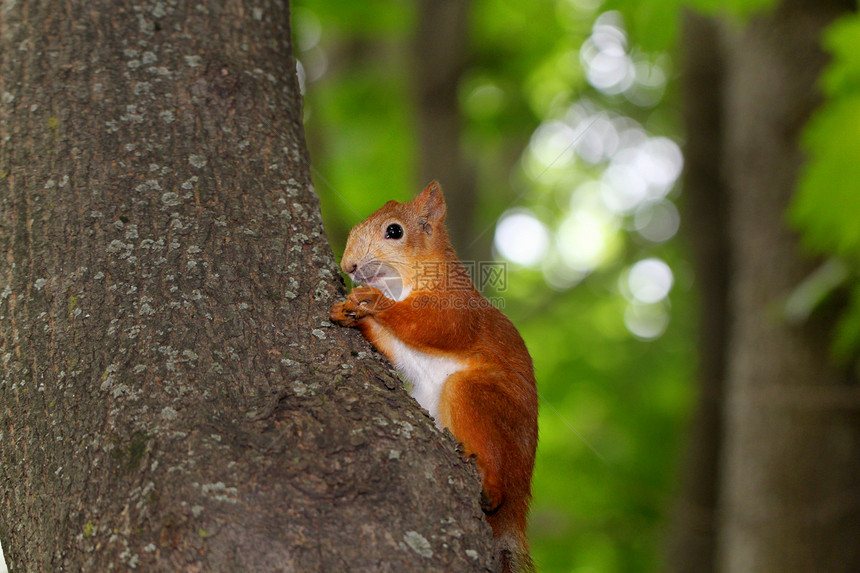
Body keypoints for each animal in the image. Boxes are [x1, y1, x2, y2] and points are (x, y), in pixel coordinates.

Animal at [330, 181, 536, 568]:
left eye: (394, 231)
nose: (347, 265)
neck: (404, 282)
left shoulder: (456, 308)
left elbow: (430, 326)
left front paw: (372, 300)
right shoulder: (400, 346)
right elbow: (393, 343)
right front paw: (349, 312)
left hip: (479, 397)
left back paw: (491, 484)